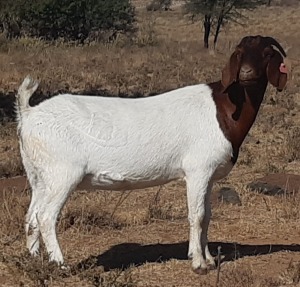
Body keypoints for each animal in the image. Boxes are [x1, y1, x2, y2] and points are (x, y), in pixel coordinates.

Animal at [16, 35, 288, 274]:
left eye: (266, 53)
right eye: (239, 53)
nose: (246, 74)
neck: (223, 110)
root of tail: (28, 113)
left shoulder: (208, 176)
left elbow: (208, 216)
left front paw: (210, 259)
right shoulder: (197, 170)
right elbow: (197, 215)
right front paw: (199, 264)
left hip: (39, 176)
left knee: (31, 217)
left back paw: (34, 261)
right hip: (62, 174)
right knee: (46, 217)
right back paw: (60, 265)